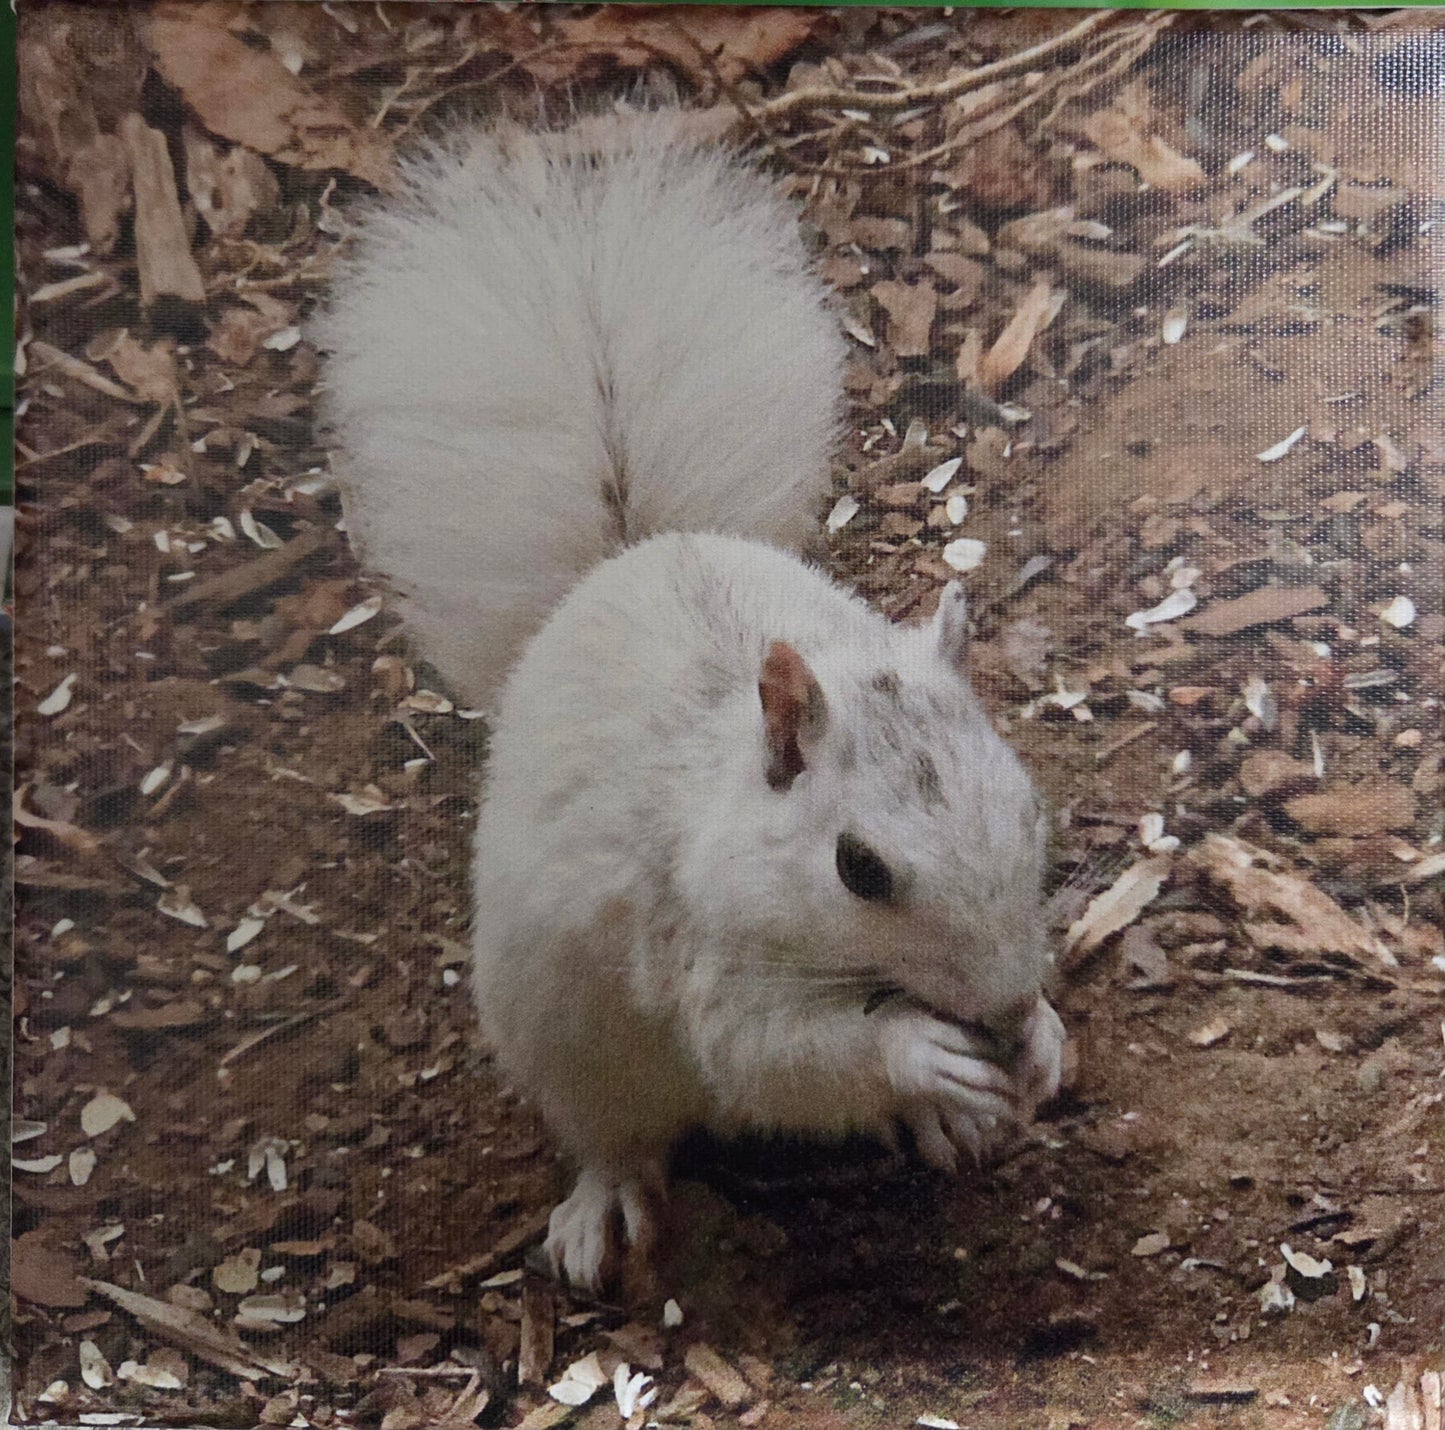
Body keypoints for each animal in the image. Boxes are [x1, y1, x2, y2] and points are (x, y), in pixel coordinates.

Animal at [312, 108, 1065, 1292]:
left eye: (1030, 809)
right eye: (858, 868)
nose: (996, 1006)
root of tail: (627, 555)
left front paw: (1040, 1040)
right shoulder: (699, 955)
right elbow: (771, 1056)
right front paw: (921, 1054)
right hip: (569, 1043)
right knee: (617, 1134)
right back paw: (605, 1207)